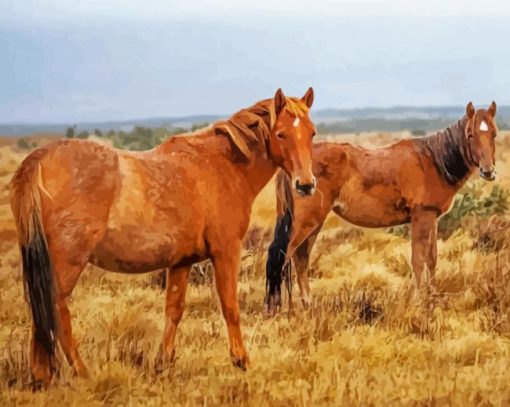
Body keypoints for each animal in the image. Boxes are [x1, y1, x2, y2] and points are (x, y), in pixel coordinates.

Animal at [9, 87, 316, 388]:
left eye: (311, 133)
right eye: (281, 134)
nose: (306, 184)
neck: (224, 165)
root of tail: (38, 161)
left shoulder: (181, 262)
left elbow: (174, 310)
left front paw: (162, 363)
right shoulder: (226, 252)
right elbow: (230, 307)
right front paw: (241, 361)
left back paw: (41, 377)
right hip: (67, 264)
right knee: (56, 313)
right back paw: (81, 373)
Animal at [266, 101, 498, 312]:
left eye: (494, 134)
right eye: (470, 134)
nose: (488, 171)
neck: (433, 161)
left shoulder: (432, 219)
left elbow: (431, 259)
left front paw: (433, 299)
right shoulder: (421, 217)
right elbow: (418, 260)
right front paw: (416, 301)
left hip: (314, 223)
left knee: (300, 259)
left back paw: (308, 305)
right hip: (307, 221)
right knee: (284, 259)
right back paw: (288, 310)